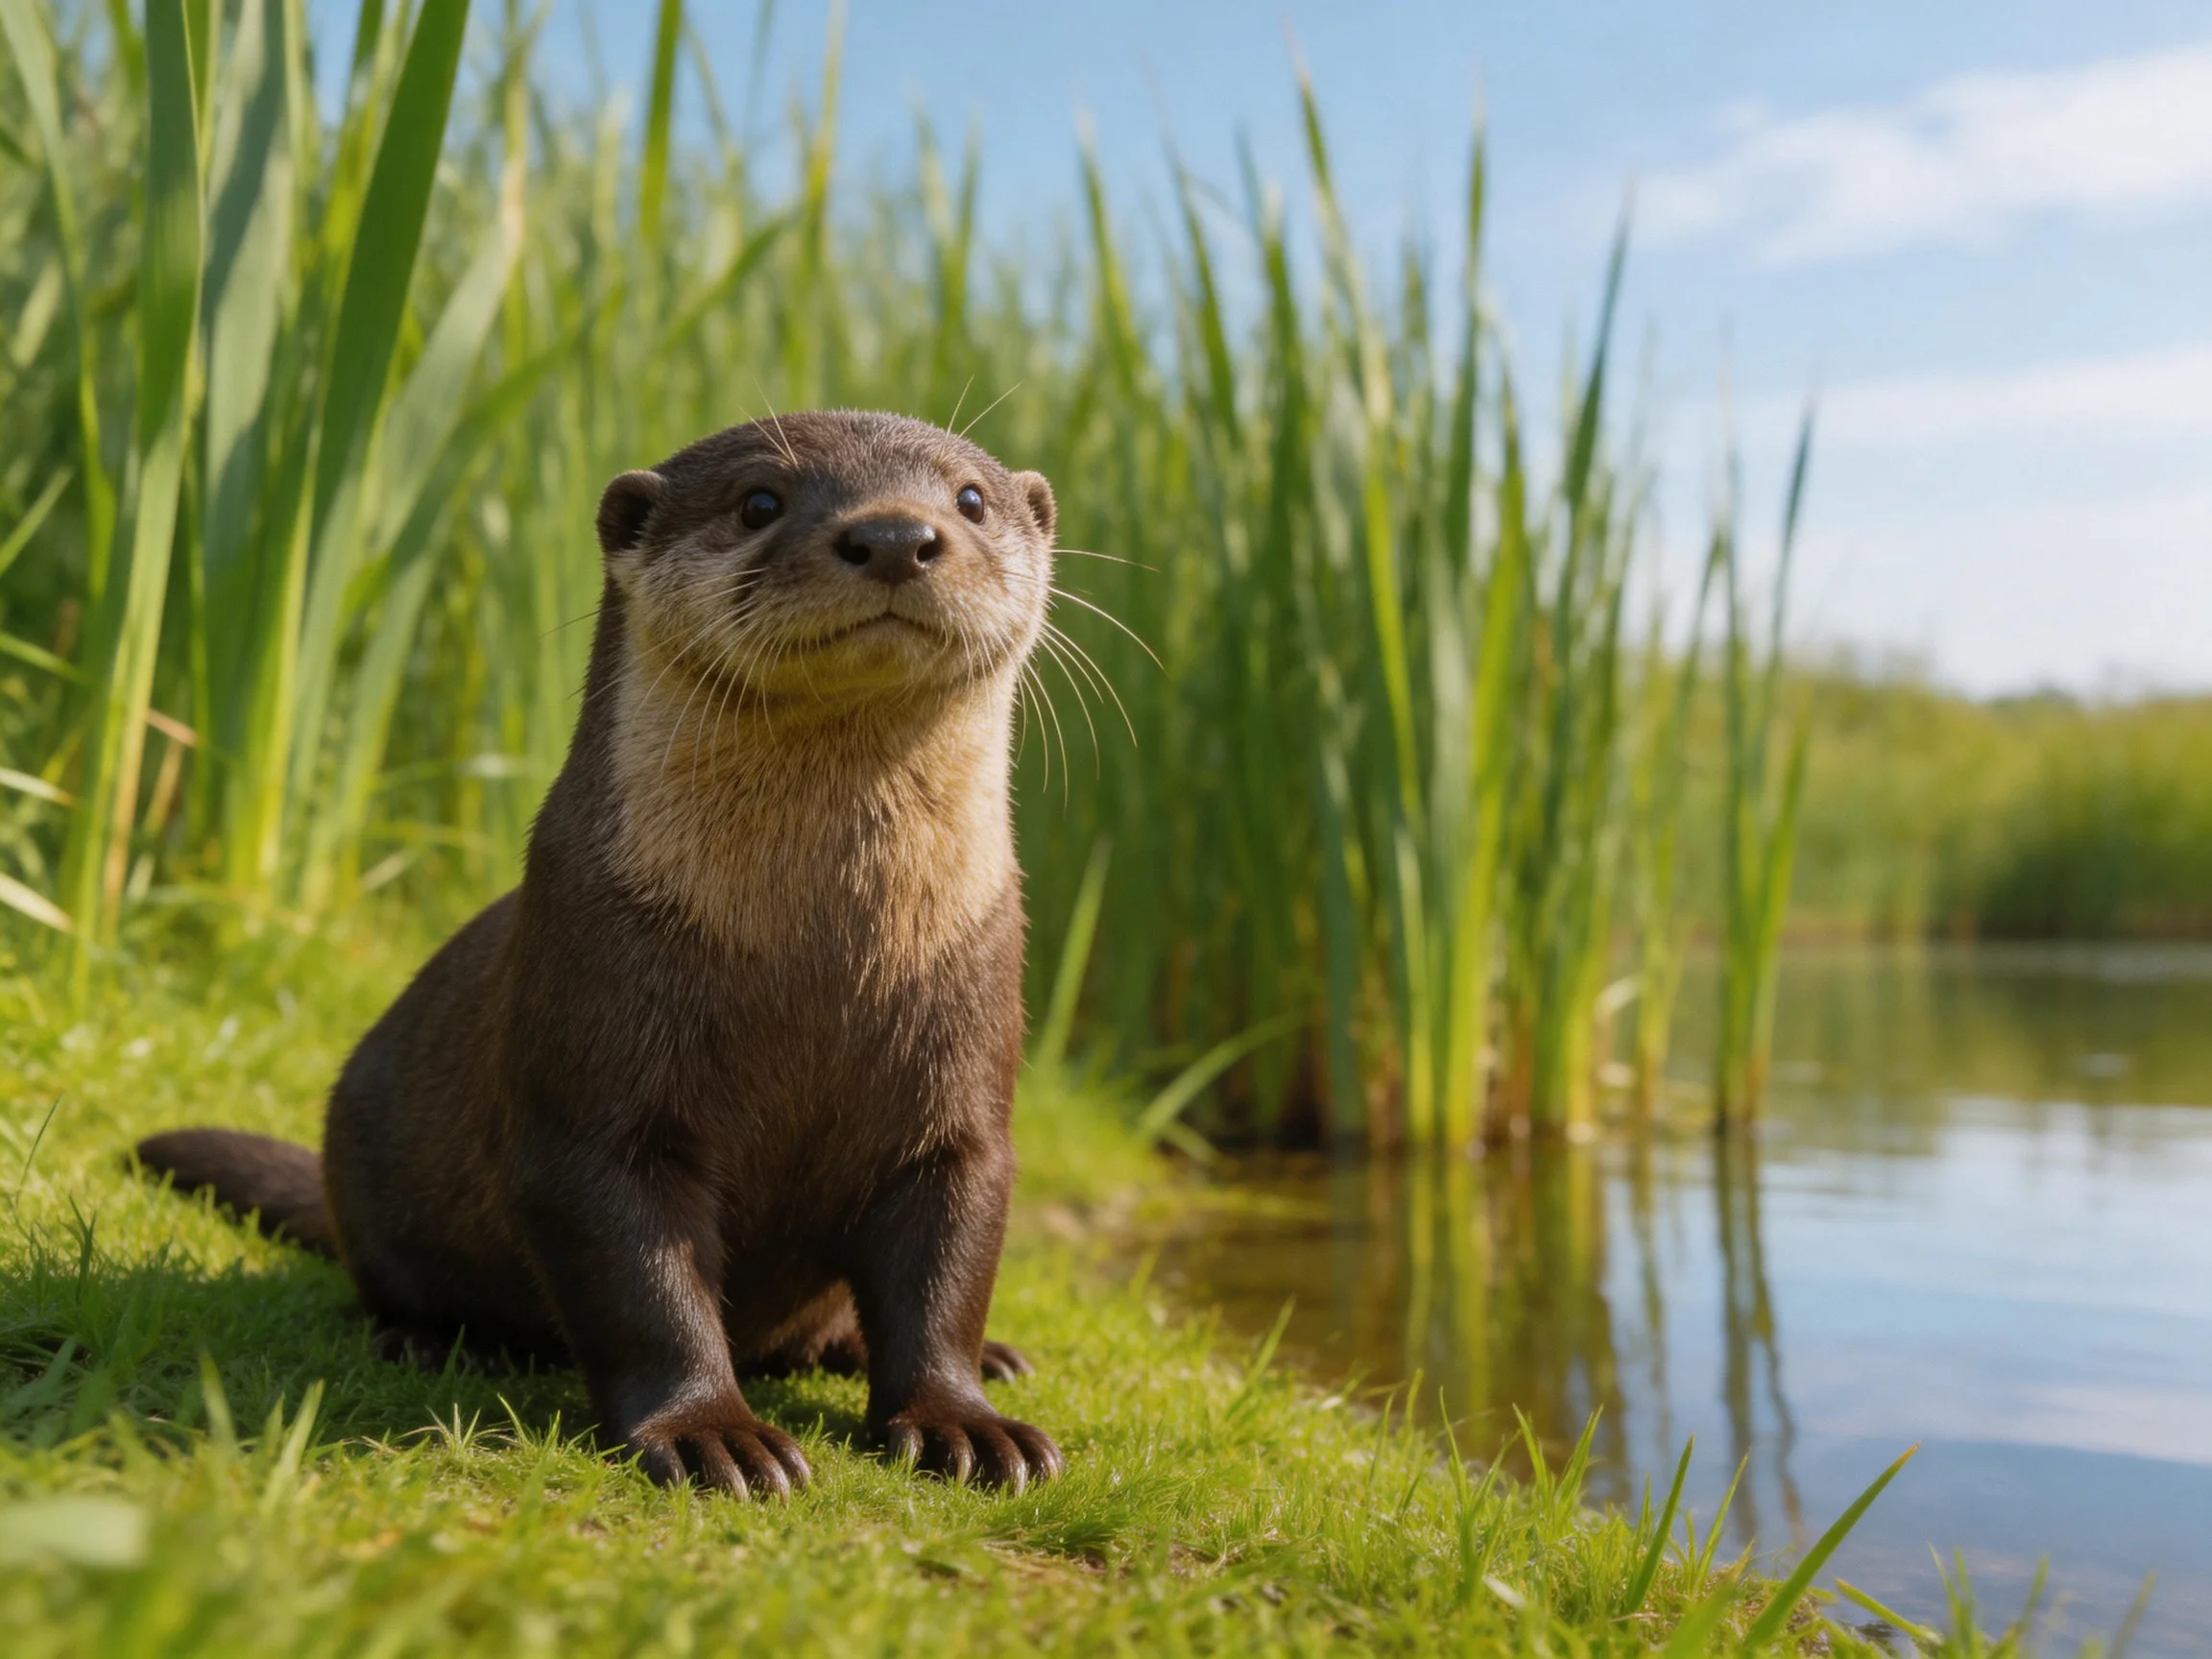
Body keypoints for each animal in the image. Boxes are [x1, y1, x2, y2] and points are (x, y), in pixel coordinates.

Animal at [138, 410, 1065, 1498]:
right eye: (760, 500)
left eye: (970, 498)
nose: (892, 536)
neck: (817, 958)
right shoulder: (594, 1081)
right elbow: (641, 1281)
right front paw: (713, 1435)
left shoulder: (964, 1089)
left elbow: (948, 1268)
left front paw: (968, 1422)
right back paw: (437, 1341)